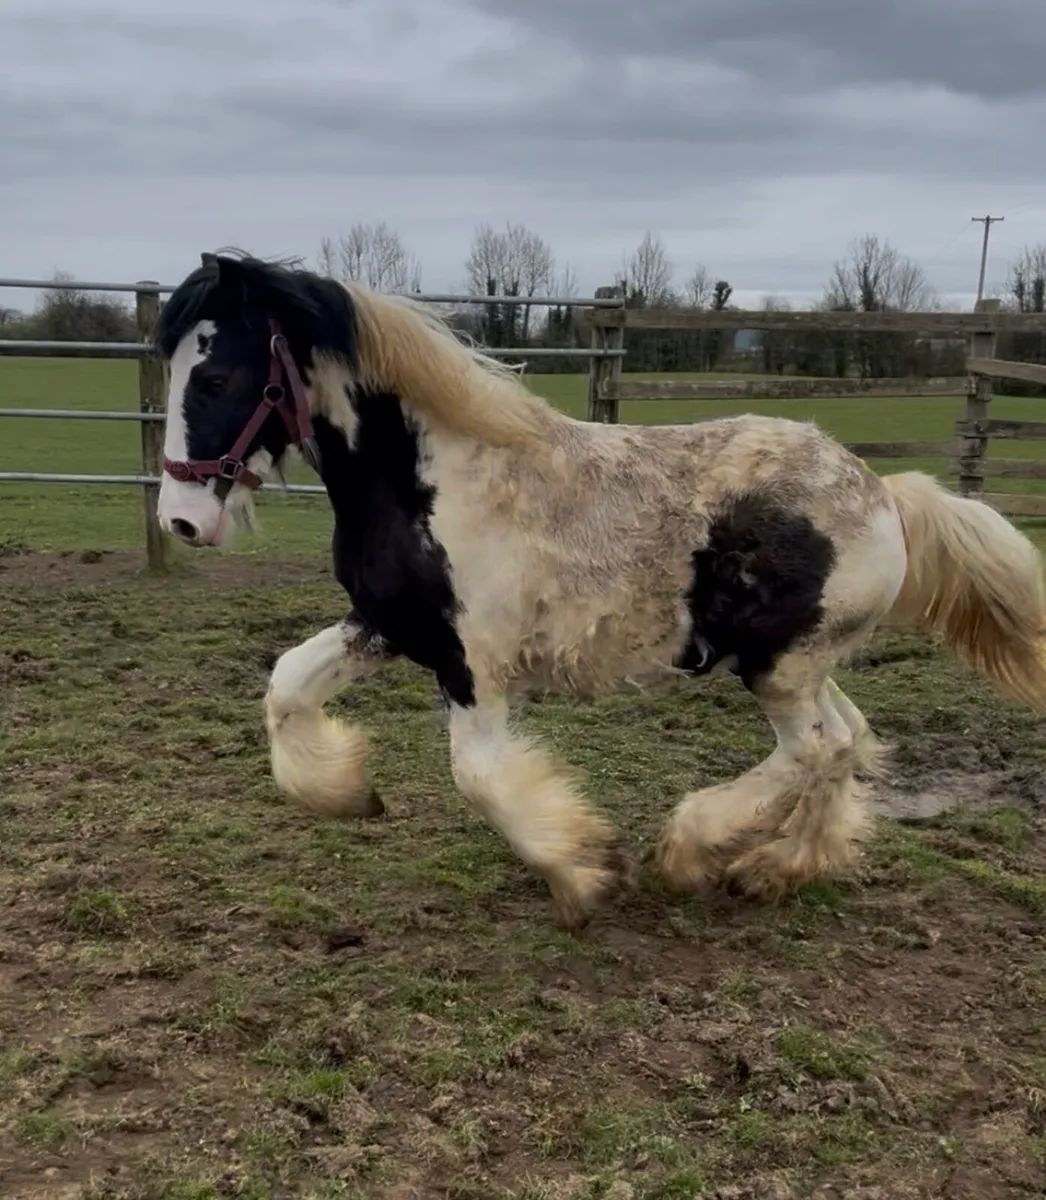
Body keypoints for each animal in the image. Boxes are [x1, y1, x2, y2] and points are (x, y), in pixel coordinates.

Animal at [154, 250, 1046, 930]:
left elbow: (480, 777)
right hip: (804, 663)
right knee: (849, 738)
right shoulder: (385, 625)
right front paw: (348, 793)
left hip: (779, 667)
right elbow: (285, 685)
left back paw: (692, 852)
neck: (432, 483)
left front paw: (587, 873)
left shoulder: (473, 667)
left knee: (816, 748)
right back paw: (781, 868)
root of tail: (885, 494)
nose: (181, 519)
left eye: (218, 375)